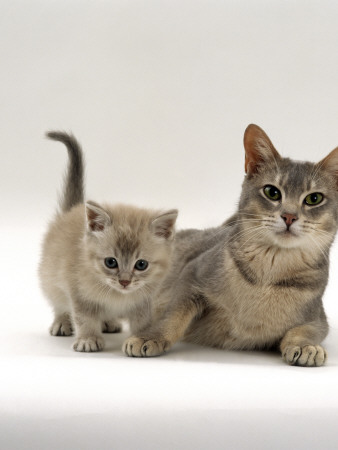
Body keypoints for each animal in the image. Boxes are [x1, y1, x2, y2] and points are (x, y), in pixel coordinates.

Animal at [39, 132, 177, 354]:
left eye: (141, 264)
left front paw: (142, 339)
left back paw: (109, 322)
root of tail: (73, 209)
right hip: (50, 278)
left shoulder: (144, 300)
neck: (117, 295)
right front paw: (88, 339)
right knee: (58, 301)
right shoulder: (78, 293)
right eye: (111, 262)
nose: (125, 282)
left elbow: (143, 322)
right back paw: (62, 322)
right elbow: (84, 317)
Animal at [125, 123, 338, 366]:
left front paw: (305, 347)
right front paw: (150, 337)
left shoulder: (318, 318)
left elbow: (305, 331)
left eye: (314, 199)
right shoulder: (192, 274)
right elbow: (173, 315)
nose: (289, 216)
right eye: (272, 192)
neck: (267, 278)